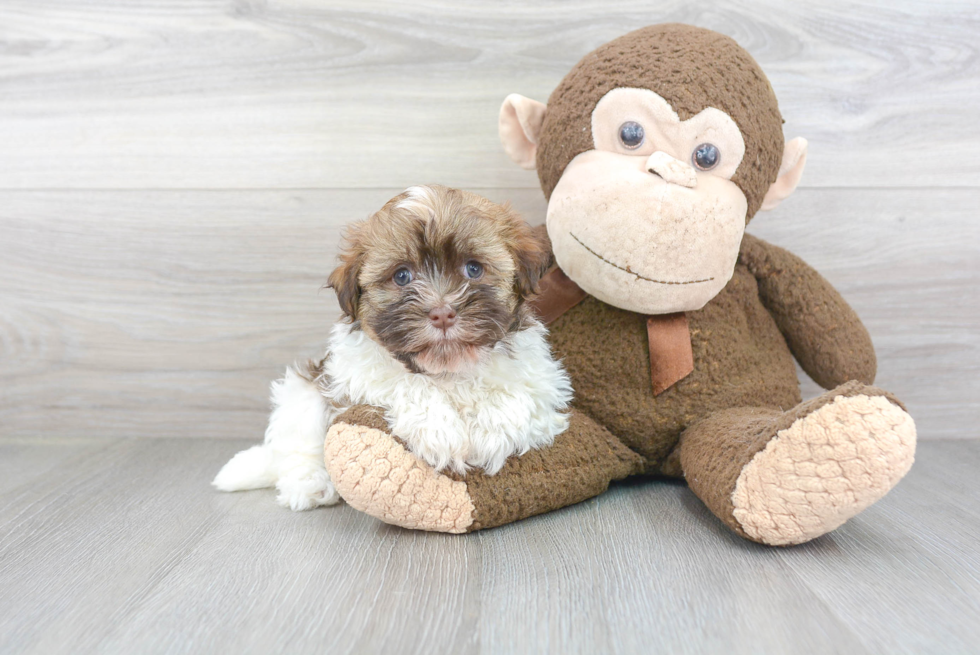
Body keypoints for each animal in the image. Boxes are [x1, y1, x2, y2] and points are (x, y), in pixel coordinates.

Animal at [211, 184, 572, 512]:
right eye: (401, 276)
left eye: (473, 268)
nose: (442, 313)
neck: (447, 369)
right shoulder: (353, 373)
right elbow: (406, 383)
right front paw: (441, 432)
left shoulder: (542, 380)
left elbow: (516, 395)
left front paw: (490, 431)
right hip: (303, 393)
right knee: (298, 442)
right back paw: (310, 483)